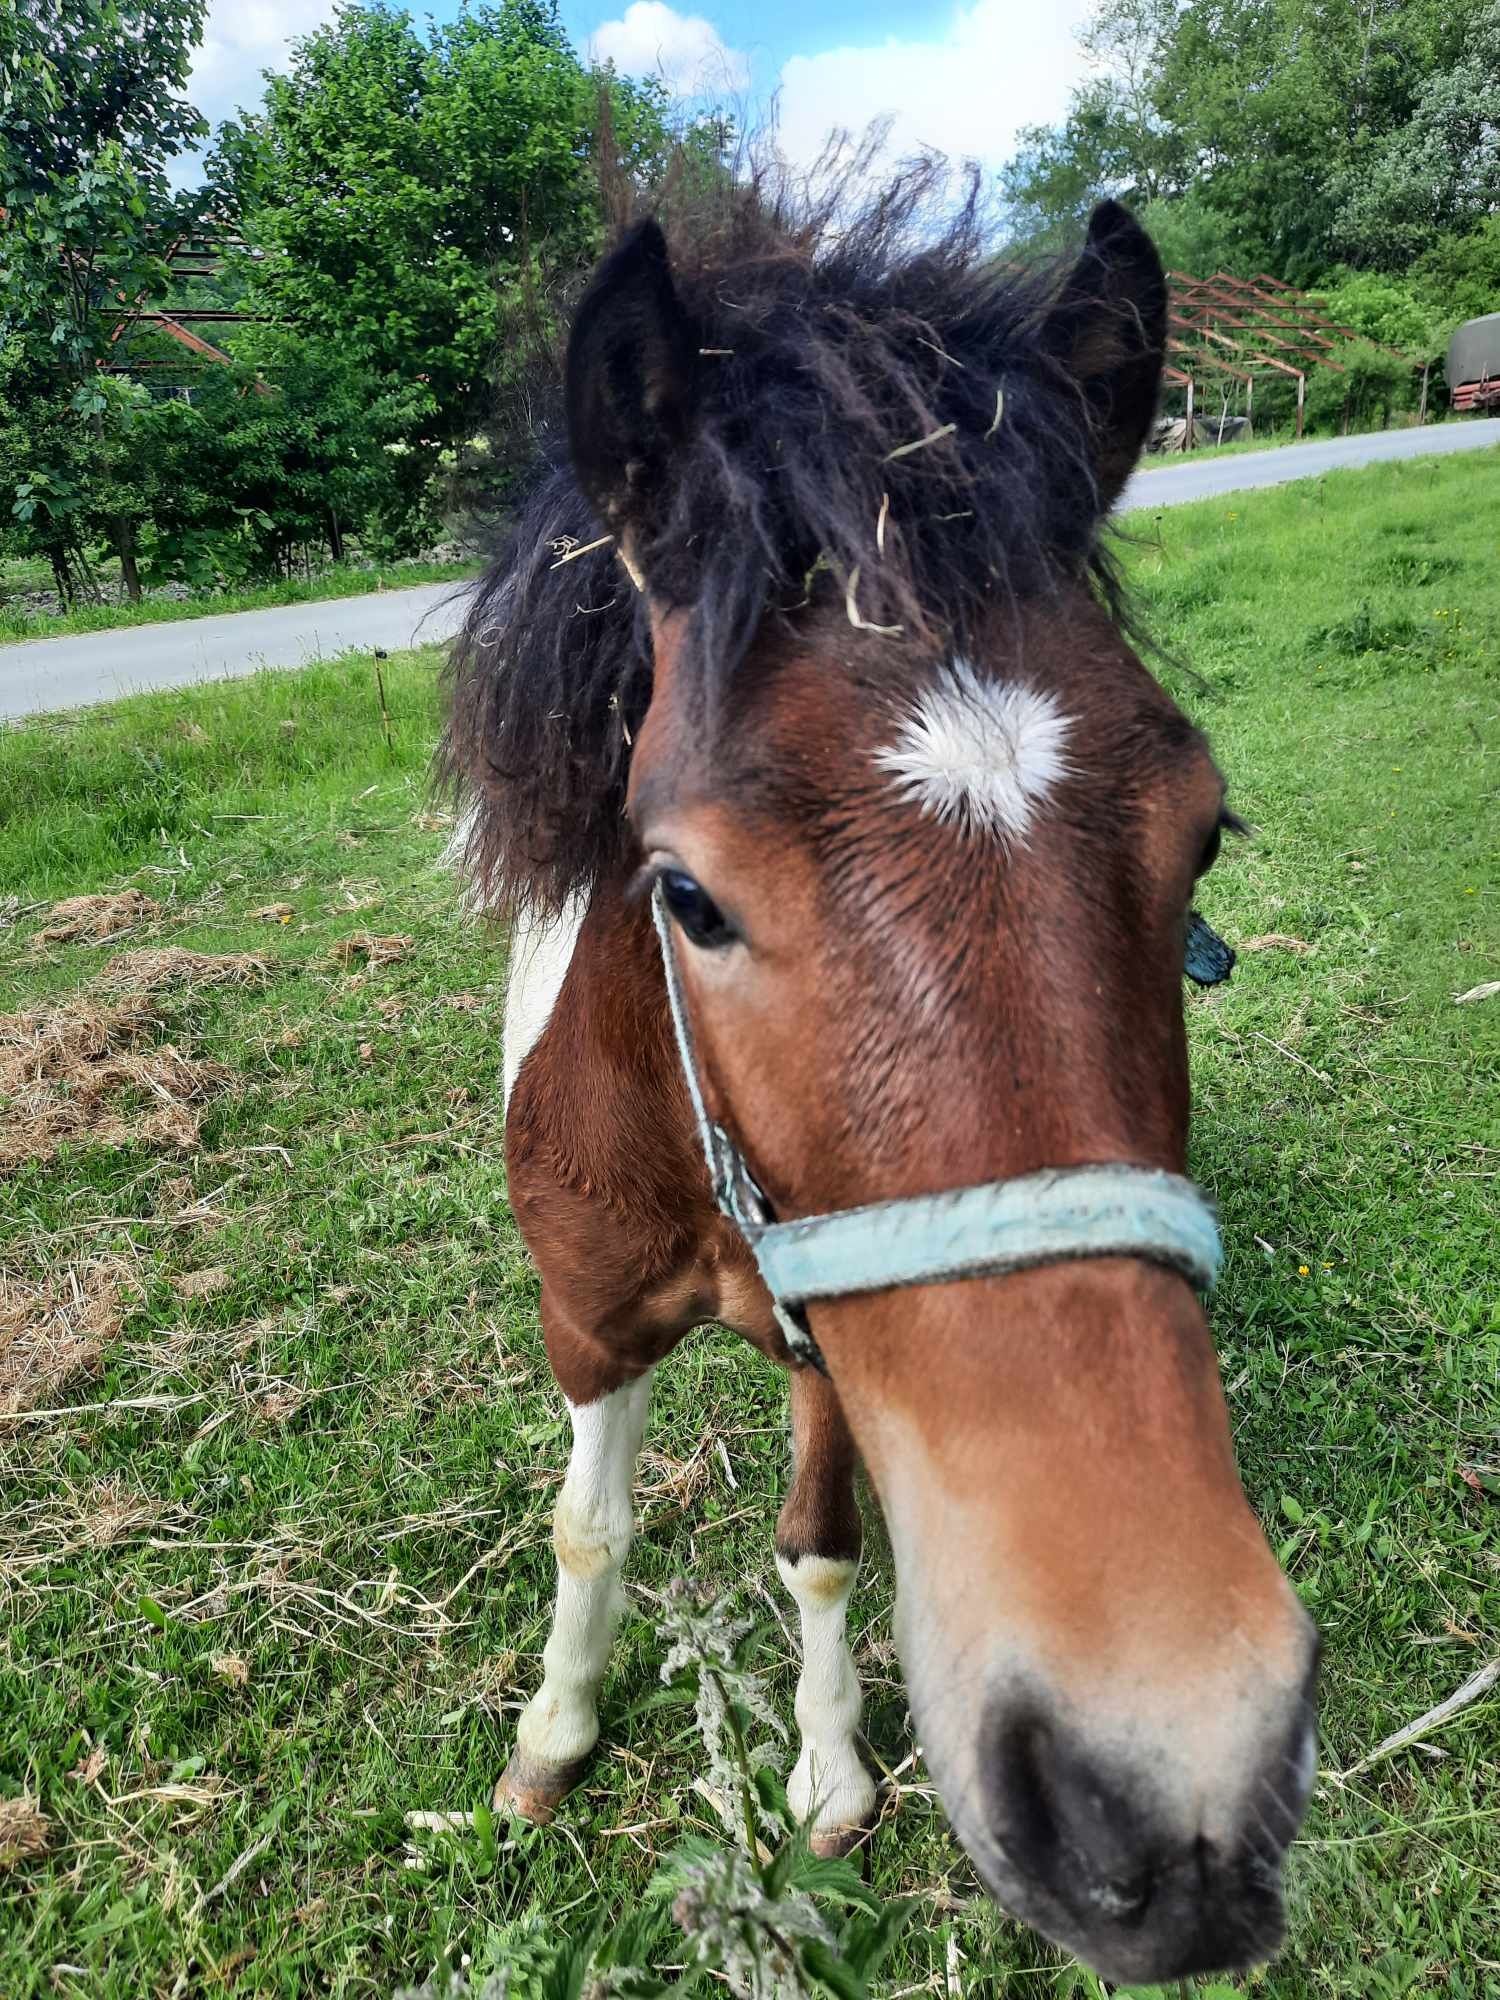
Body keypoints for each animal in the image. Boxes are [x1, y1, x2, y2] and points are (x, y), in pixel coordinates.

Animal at [440, 160, 1320, 1984]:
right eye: (686, 896)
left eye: (1205, 836)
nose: (1174, 1788)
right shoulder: (584, 1325)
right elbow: (588, 1528)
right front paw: (553, 1738)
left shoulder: (833, 1353)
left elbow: (823, 1552)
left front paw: (832, 1772)